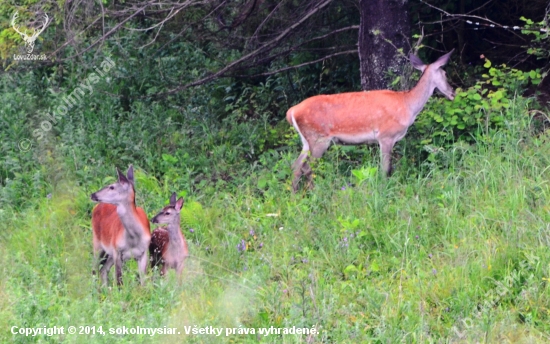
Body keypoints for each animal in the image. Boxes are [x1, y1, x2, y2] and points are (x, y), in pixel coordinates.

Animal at [288, 50, 458, 192]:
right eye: (445, 73)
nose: (453, 93)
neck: (408, 105)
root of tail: (292, 111)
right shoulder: (386, 136)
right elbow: (385, 169)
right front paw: (384, 190)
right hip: (319, 138)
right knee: (307, 167)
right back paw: (313, 193)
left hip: (307, 140)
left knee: (295, 166)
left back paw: (294, 195)